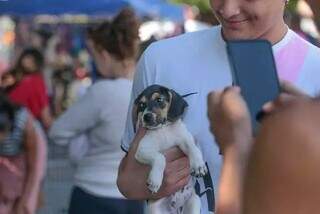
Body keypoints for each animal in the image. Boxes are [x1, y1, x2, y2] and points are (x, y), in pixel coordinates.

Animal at [133, 84, 206, 213]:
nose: (146, 117)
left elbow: (194, 149)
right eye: (142, 105)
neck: (163, 129)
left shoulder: (184, 139)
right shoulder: (143, 149)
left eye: (159, 100)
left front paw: (198, 165)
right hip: (154, 208)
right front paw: (155, 180)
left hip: (194, 201)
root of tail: (175, 209)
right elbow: (160, 157)